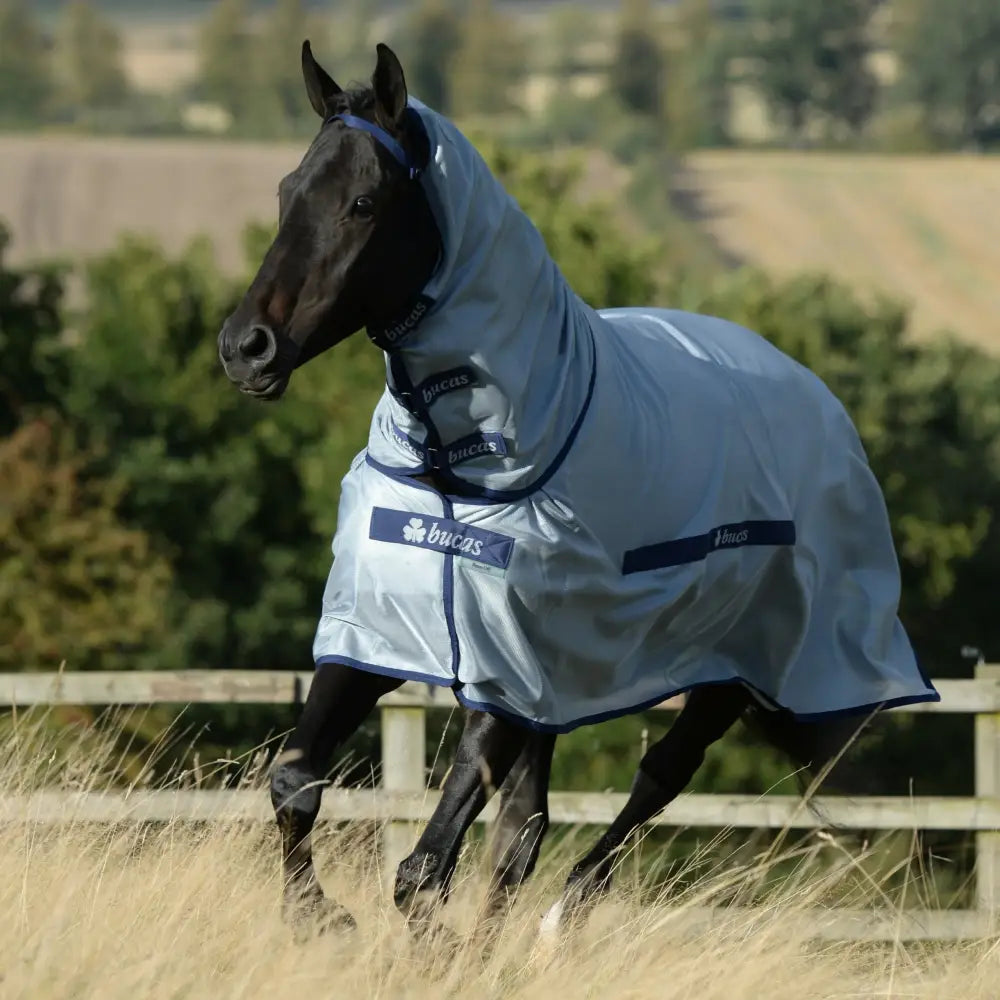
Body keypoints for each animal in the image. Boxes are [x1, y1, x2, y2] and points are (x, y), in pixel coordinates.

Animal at [217, 41, 939, 940]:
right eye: (288, 191)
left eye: (361, 202)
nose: (245, 347)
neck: (466, 468)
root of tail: (816, 393)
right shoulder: (382, 638)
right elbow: (296, 783)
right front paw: (322, 921)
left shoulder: (505, 673)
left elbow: (425, 868)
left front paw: (407, 941)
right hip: (564, 687)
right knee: (525, 828)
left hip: (734, 672)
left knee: (655, 779)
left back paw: (564, 918)